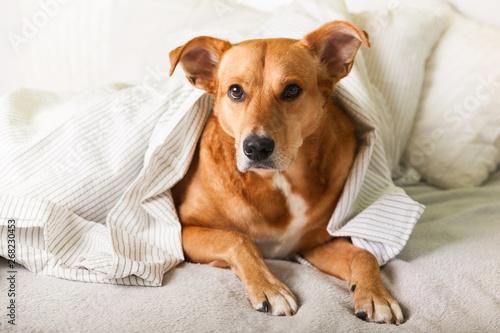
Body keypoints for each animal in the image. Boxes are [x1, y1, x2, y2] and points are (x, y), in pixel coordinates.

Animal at [170, 19, 404, 322]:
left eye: (292, 89)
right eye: (235, 91)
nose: (256, 147)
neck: (281, 180)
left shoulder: (314, 245)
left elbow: (365, 254)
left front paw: (377, 295)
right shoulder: (181, 231)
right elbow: (238, 238)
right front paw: (269, 288)